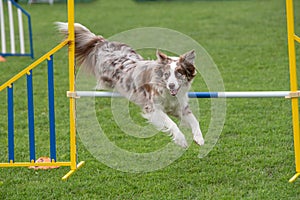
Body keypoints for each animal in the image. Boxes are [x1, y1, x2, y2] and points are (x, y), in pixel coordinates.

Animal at [56, 22, 204, 148]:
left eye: (179, 73)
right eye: (166, 74)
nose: (172, 86)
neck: (167, 93)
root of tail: (103, 42)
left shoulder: (180, 108)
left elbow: (195, 121)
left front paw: (199, 138)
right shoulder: (153, 109)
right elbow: (171, 123)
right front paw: (181, 140)